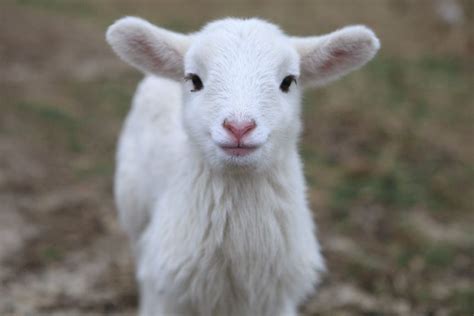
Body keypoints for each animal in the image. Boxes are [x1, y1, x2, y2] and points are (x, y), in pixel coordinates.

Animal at [105, 17, 380, 316]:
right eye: (194, 80)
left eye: (288, 81)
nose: (239, 127)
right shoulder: (169, 291)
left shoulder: (277, 299)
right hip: (134, 211)